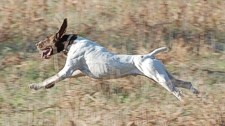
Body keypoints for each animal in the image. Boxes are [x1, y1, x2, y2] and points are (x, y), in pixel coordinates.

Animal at [29, 18, 199, 101]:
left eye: (47, 39)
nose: (37, 44)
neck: (71, 42)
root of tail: (150, 55)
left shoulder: (67, 71)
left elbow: (52, 77)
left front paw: (36, 86)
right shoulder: (78, 72)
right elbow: (55, 79)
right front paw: (48, 86)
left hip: (161, 79)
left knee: (179, 93)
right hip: (165, 76)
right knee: (187, 84)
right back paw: (196, 95)